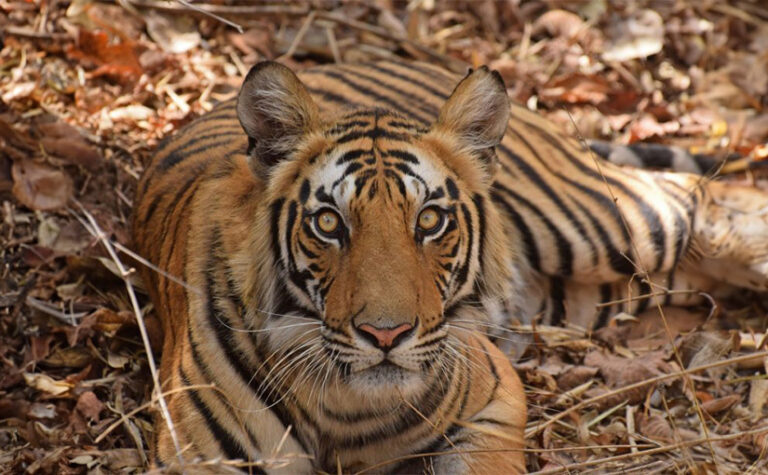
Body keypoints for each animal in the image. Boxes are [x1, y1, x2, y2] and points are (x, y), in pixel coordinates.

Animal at [132, 60, 768, 473]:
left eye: (431, 220)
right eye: (330, 223)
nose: (385, 334)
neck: (342, 407)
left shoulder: (494, 402)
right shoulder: (196, 458)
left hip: (604, 224)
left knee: (704, 195)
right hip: (597, 291)